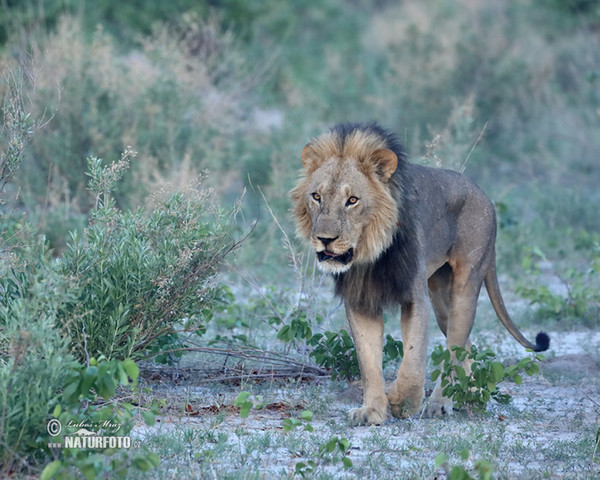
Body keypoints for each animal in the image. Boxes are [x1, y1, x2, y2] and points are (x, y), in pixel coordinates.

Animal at [290, 123, 548, 424]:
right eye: (316, 196)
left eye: (352, 200)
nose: (325, 240)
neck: (371, 252)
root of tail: (484, 194)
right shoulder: (361, 301)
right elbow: (368, 362)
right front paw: (372, 410)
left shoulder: (415, 298)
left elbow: (413, 357)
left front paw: (403, 401)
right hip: (441, 297)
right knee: (465, 345)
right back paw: (471, 394)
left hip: (466, 283)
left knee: (454, 347)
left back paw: (439, 403)